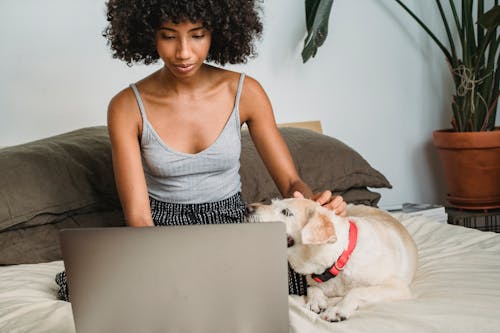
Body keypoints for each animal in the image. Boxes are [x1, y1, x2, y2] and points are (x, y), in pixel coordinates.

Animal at [246, 198, 418, 320]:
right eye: (272, 203)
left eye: (286, 212)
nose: (247, 208)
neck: (339, 258)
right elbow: (313, 288)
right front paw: (315, 301)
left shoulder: (397, 287)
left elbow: (356, 291)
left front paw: (337, 309)